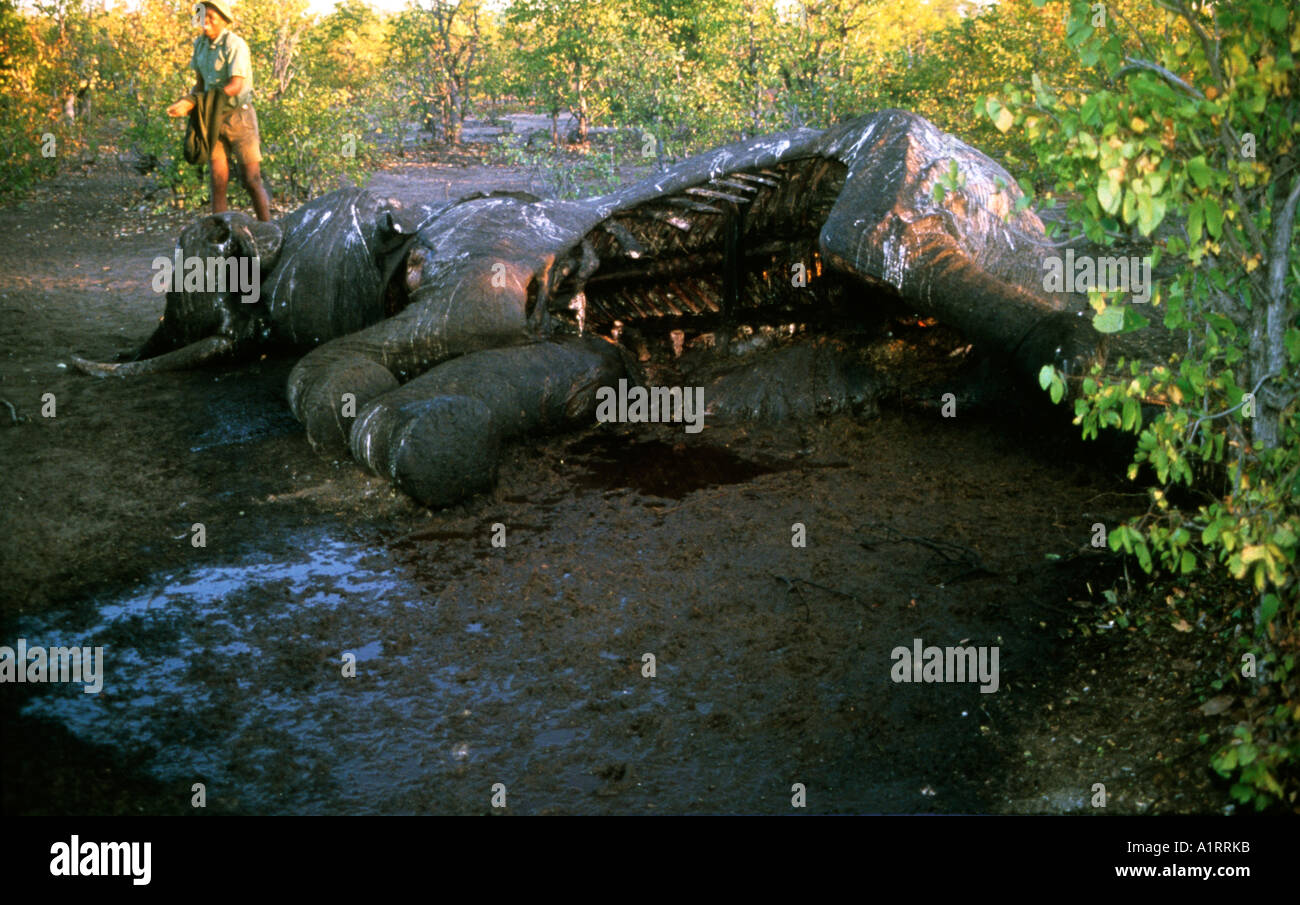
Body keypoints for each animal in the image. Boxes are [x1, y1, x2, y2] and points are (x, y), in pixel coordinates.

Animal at [75, 109, 1106, 508]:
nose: (238, 235)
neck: (404, 242)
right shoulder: (578, 355)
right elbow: (414, 409)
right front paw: (409, 428)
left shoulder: (480, 266)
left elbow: (324, 374)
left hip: (916, 166)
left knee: (873, 232)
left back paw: (1093, 360)